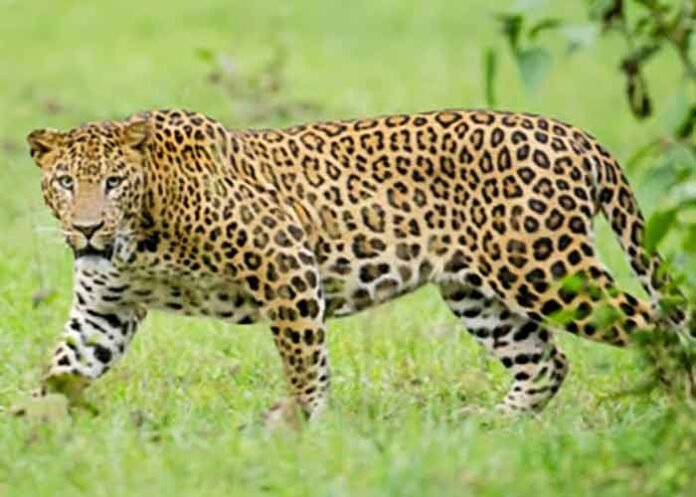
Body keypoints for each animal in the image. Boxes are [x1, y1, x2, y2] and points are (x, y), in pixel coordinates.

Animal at [26, 108, 687, 418]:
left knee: (658, 329)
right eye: (65, 182)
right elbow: (61, 370)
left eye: (113, 183)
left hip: (546, 270)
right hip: (478, 292)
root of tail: (576, 135)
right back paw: (490, 425)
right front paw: (31, 433)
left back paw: (677, 416)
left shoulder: (286, 262)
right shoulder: (104, 312)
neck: (141, 235)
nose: (87, 228)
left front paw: (299, 428)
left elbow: (304, 364)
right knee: (546, 361)